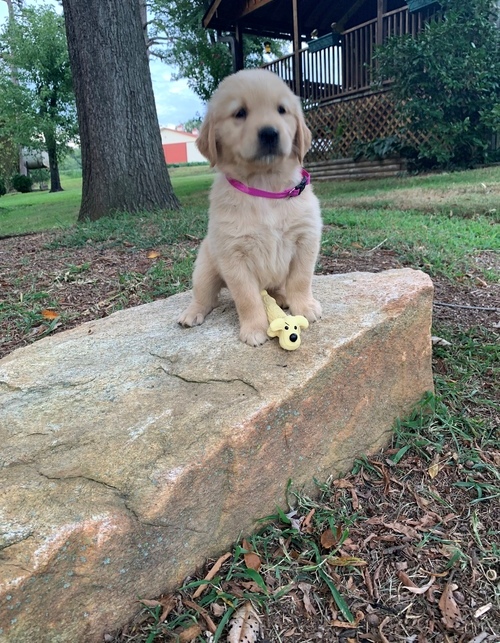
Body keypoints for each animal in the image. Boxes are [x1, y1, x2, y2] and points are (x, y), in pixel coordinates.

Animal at [178, 69, 322, 348]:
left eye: (281, 110)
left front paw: (305, 306)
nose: (269, 133)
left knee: (279, 287)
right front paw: (255, 329)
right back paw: (191, 313)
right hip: (205, 267)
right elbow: (247, 297)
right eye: (240, 113)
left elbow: (300, 279)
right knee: (204, 296)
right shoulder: (233, 255)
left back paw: (282, 297)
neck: (264, 187)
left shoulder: (306, 239)